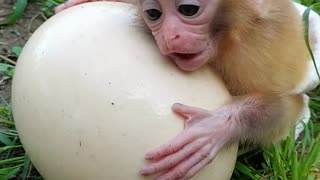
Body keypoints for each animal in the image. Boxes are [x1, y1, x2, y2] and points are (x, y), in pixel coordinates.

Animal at [56, 0, 318, 180]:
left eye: (188, 10)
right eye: (153, 14)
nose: (169, 37)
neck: (225, 37)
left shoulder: (252, 53)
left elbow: (286, 107)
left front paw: (215, 128)